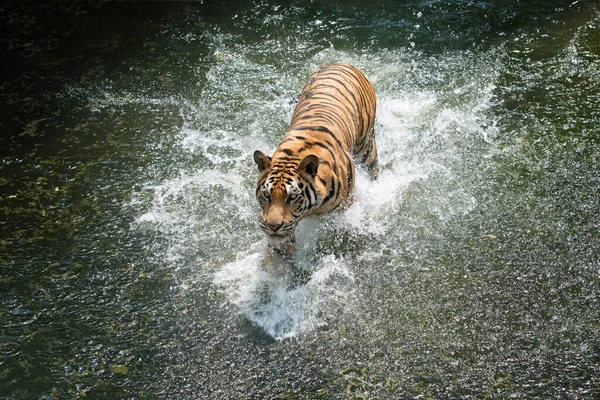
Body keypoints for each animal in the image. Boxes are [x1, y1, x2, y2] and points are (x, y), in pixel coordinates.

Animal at [254, 64, 380, 260]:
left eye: (292, 197)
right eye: (266, 195)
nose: (273, 226)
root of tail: (341, 63)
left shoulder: (344, 210)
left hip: (366, 149)